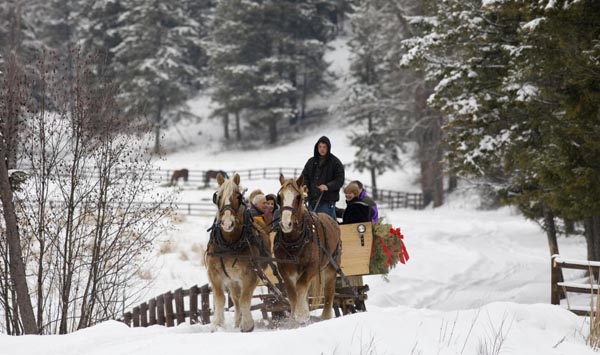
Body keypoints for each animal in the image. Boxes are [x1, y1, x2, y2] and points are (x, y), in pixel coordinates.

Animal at [206, 174, 272, 332]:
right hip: (232, 278)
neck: (230, 244)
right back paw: (237, 321)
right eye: (218, 197)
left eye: (237, 196)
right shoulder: (214, 273)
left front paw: (247, 325)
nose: (227, 223)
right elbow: (220, 299)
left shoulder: (251, 274)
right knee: (235, 298)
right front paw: (217, 325)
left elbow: (245, 299)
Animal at [276, 174, 342, 324]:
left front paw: (302, 314)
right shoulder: (285, 269)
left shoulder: (312, 266)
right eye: (280, 197)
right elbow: (292, 293)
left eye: (298, 197)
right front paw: (294, 319)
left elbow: (300, 286)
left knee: (329, 293)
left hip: (331, 268)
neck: (294, 241)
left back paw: (325, 317)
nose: (286, 224)